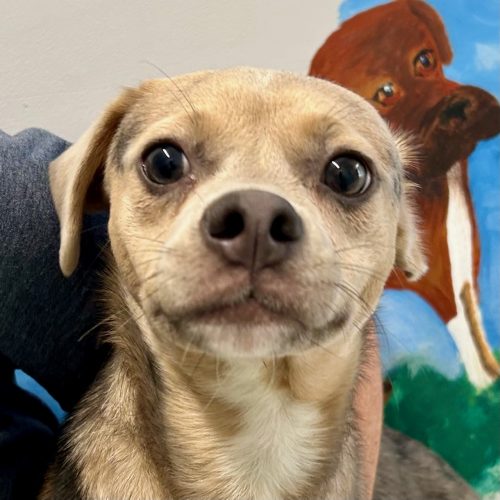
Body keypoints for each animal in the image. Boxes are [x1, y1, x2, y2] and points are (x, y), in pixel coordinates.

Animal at [310, 0, 500, 387]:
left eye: (425, 59)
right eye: (385, 93)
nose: (457, 110)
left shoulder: (461, 265)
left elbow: (476, 336)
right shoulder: (436, 284)